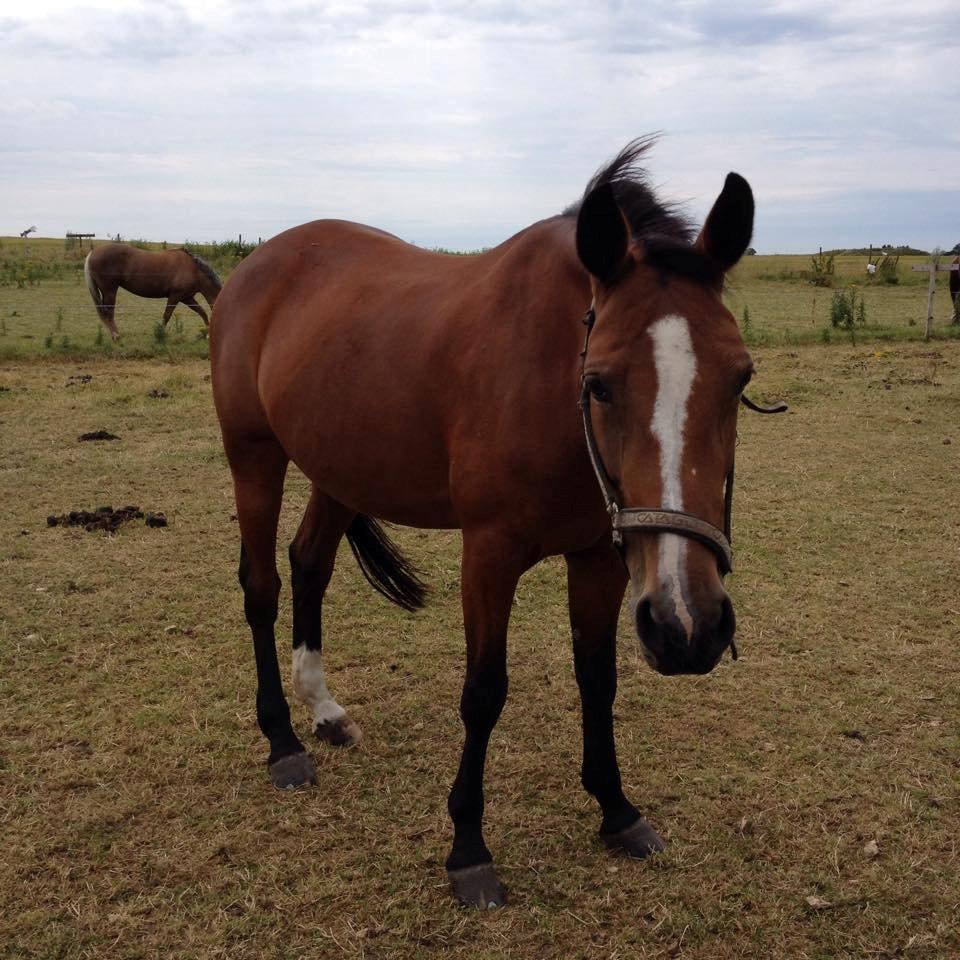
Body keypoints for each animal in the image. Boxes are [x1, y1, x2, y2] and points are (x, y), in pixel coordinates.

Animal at [84, 242, 221, 340]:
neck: (193, 270)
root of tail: (93, 252)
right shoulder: (175, 296)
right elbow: (167, 315)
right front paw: (160, 335)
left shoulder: (187, 298)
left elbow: (202, 312)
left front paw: (208, 334)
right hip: (110, 291)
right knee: (108, 312)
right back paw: (116, 335)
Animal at [210, 137, 772, 908]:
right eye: (599, 383)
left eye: (740, 378)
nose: (690, 625)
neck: (549, 383)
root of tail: (256, 267)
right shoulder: (489, 554)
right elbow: (483, 693)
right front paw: (468, 850)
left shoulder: (600, 557)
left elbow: (598, 677)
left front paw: (617, 810)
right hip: (255, 458)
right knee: (261, 585)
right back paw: (284, 742)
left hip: (341, 468)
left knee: (309, 564)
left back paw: (322, 710)